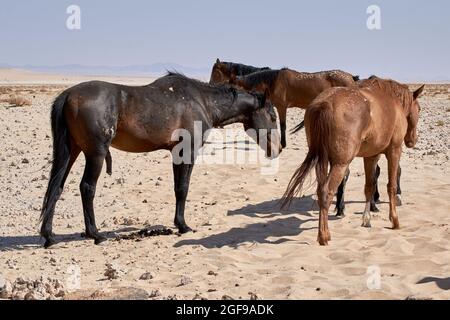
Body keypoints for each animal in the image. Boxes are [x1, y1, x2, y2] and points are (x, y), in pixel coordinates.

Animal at [41, 72, 282, 248]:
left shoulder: (176, 153)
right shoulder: (188, 152)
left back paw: (49, 236)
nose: (278, 148)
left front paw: (178, 223)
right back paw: (95, 234)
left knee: (56, 187)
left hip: (72, 152)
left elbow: (177, 188)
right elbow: (183, 188)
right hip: (96, 154)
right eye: (272, 116)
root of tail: (68, 95)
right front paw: (183, 226)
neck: (202, 101)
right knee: (87, 188)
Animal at [284, 77, 424, 245]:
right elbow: (392, 185)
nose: (412, 140)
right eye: (419, 109)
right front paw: (394, 220)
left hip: (322, 161)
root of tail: (325, 103)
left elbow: (369, 186)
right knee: (326, 192)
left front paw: (367, 219)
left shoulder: (371, 156)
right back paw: (324, 235)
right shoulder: (394, 151)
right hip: (340, 163)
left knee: (321, 190)